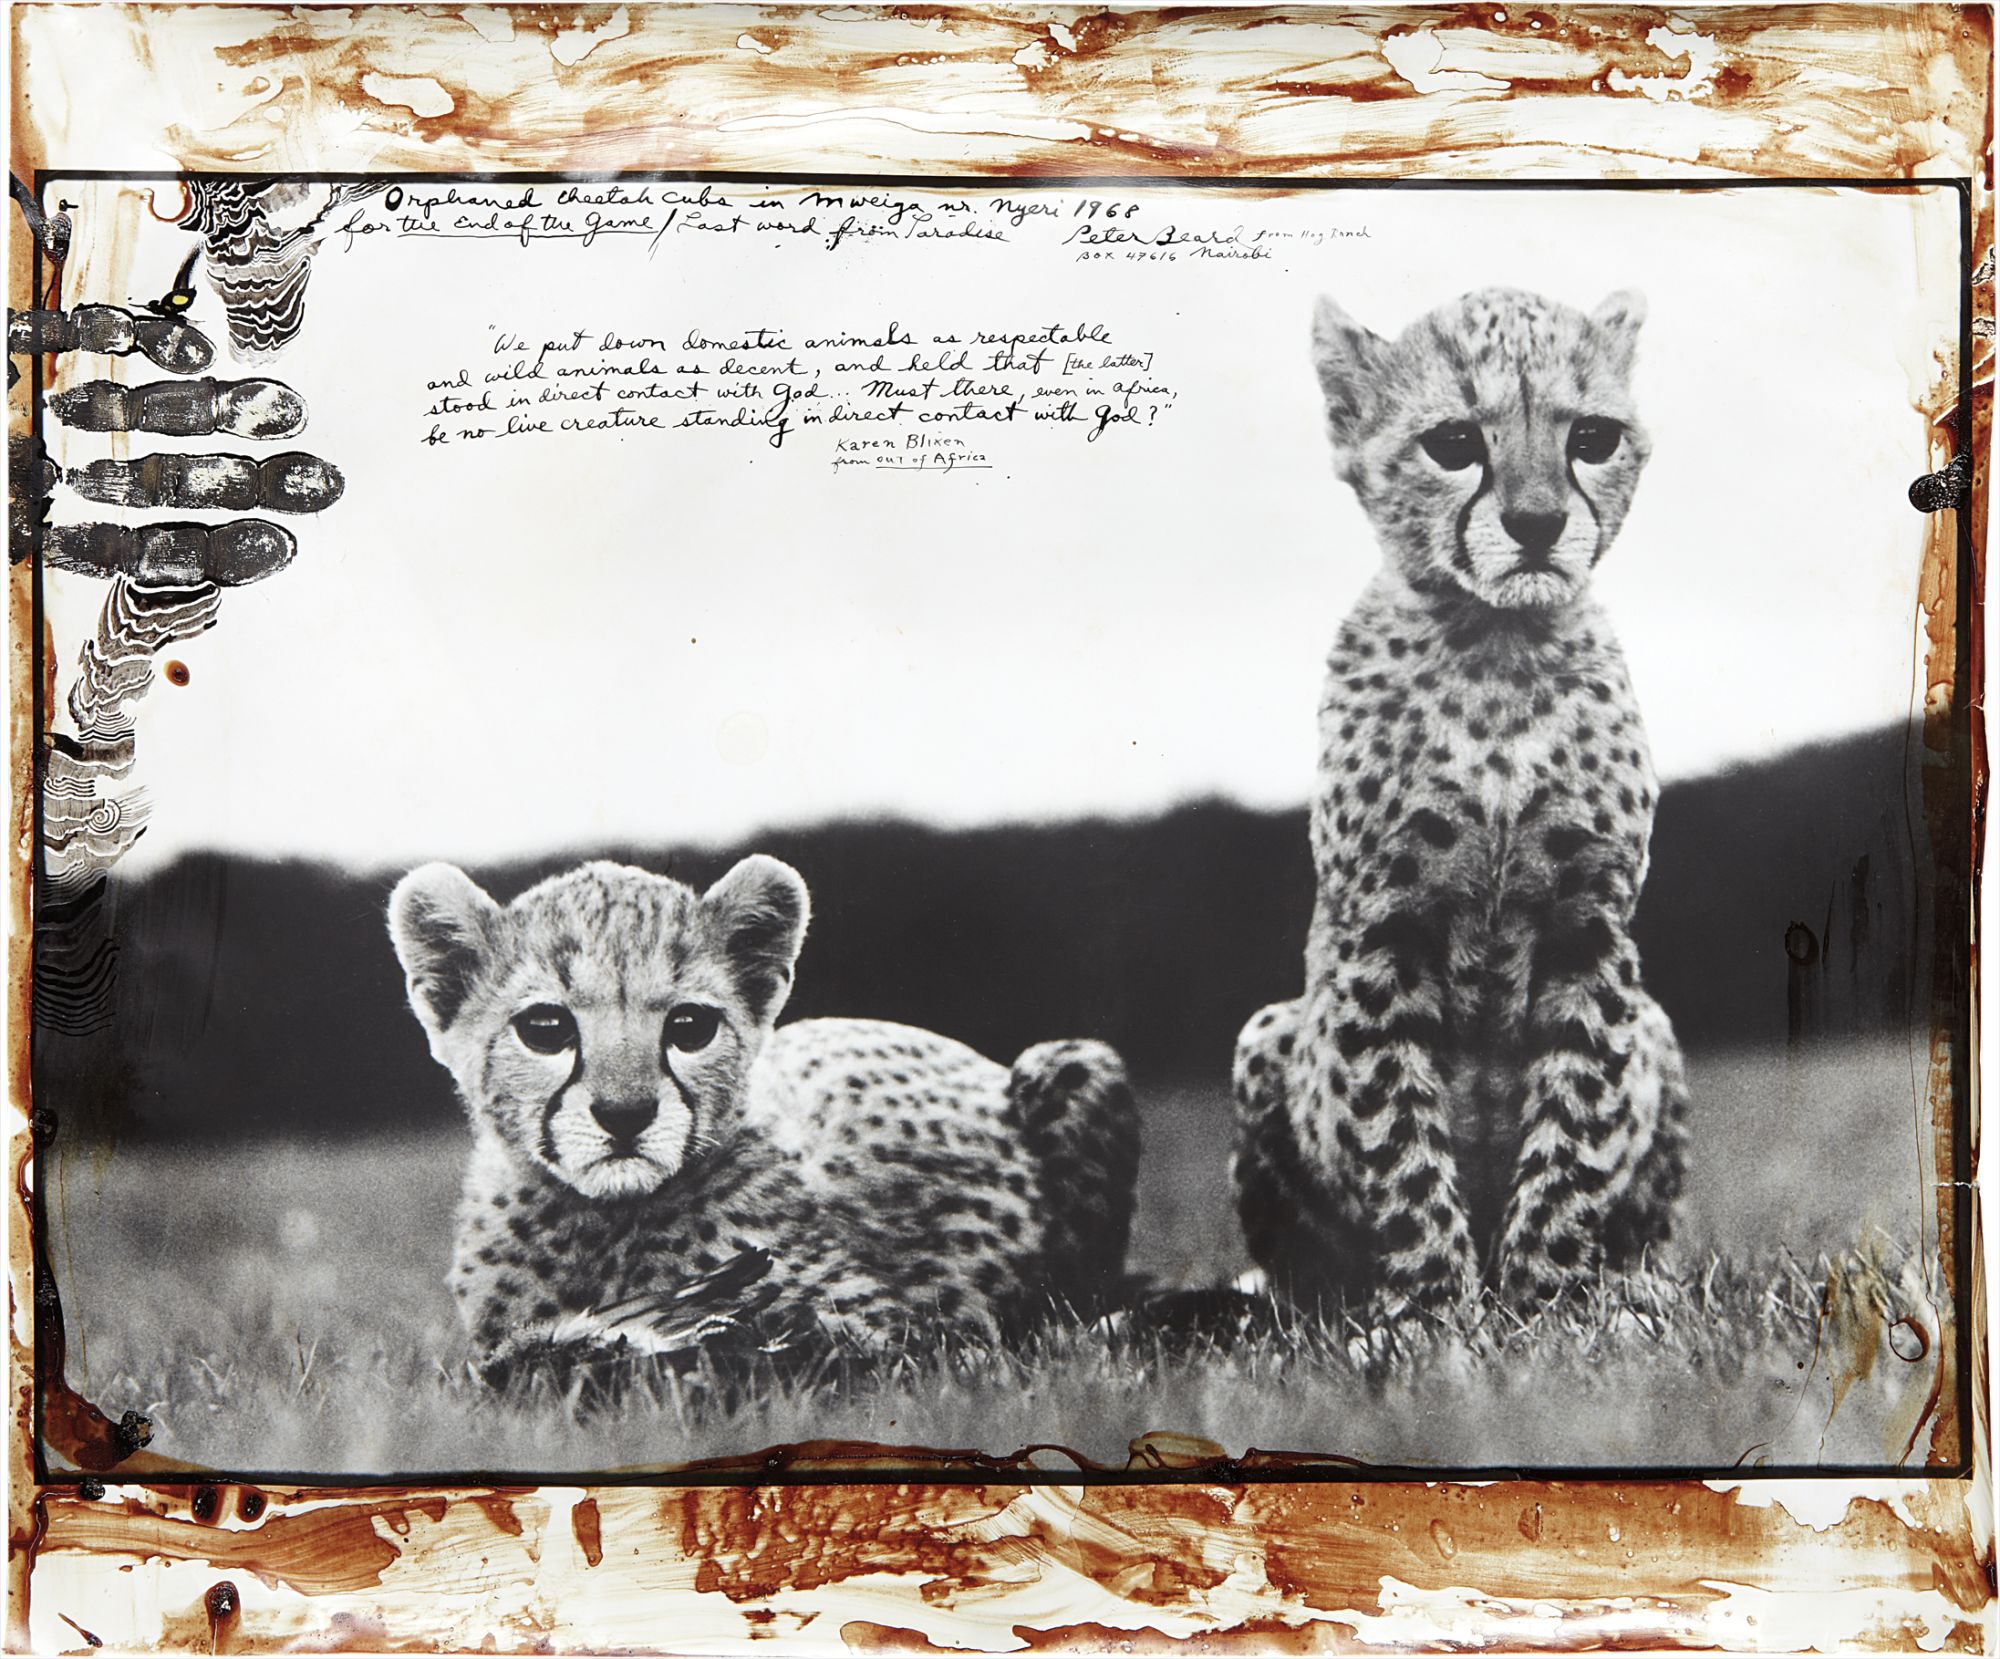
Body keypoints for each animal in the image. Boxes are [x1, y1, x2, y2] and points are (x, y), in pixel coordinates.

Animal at [387, 854, 1140, 1379]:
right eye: (545, 1029)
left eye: (690, 1027)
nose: (626, 1114)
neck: (606, 1223)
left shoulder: (900, 1331)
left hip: (1077, 1063)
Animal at [1231, 286, 1689, 1317]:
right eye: (1453, 444)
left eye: (1591, 437)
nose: (1536, 522)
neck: (1496, 647)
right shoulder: (1381, 932)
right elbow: (1397, 1133)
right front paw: (1434, 1313)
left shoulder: (1591, 928)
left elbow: (1575, 1123)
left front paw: (1551, 1304)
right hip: (1268, 1030)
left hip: (1658, 1027)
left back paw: (1639, 1287)